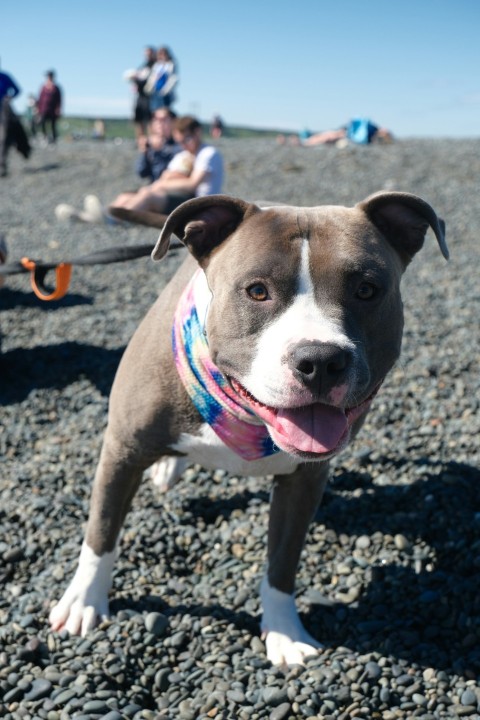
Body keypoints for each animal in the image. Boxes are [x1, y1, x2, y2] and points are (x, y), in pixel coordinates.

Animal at [48, 191, 446, 664]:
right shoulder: (121, 451)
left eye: (367, 290)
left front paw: (284, 633)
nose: (320, 360)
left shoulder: (304, 481)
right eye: (257, 291)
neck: (246, 413)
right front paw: (83, 601)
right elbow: (101, 533)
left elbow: (282, 564)